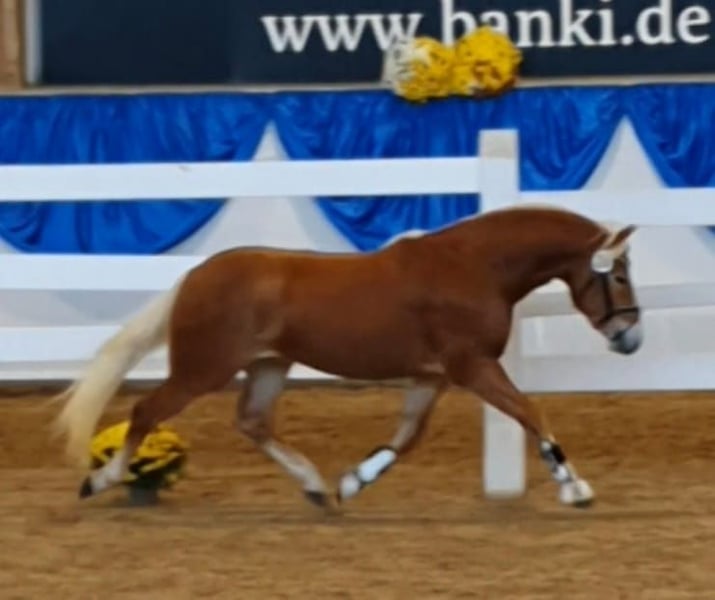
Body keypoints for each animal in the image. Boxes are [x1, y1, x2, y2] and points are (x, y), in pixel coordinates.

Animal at [53, 206, 641, 510]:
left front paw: (355, 481)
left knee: (254, 423)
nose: (629, 336)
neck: (472, 267)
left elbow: (406, 438)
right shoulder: (472, 367)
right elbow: (530, 412)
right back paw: (101, 481)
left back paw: (315, 487)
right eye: (616, 273)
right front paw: (573, 486)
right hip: (202, 369)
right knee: (145, 412)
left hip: (268, 366)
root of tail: (195, 275)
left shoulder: (431, 377)